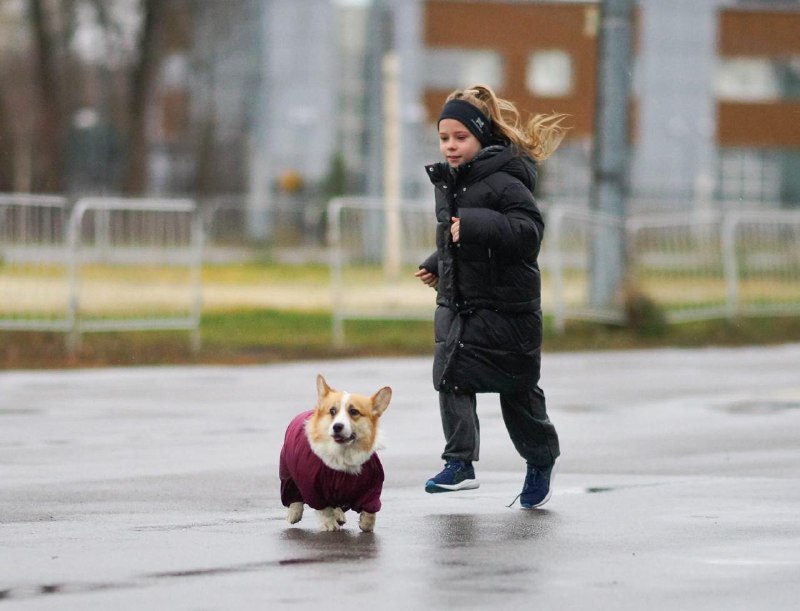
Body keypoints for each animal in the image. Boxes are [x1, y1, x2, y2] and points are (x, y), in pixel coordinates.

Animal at [280, 372, 392, 532]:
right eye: (332, 411)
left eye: (354, 411)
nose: (337, 426)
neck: (343, 454)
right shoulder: (314, 489)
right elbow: (324, 509)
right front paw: (329, 524)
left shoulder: (372, 486)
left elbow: (370, 511)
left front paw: (366, 523)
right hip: (287, 473)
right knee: (294, 496)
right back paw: (294, 513)